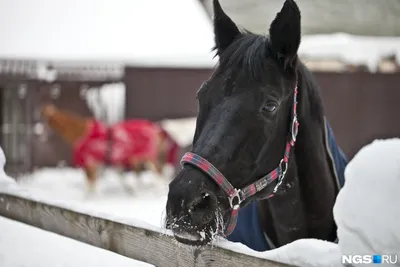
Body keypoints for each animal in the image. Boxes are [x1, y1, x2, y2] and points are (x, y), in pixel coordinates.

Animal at [41, 104, 178, 195]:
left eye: (44, 119)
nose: (40, 132)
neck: (81, 132)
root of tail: (157, 130)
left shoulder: (90, 163)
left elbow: (91, 183)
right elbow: (107, 178)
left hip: (148, 158)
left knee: (158, 175)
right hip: (137, 158)